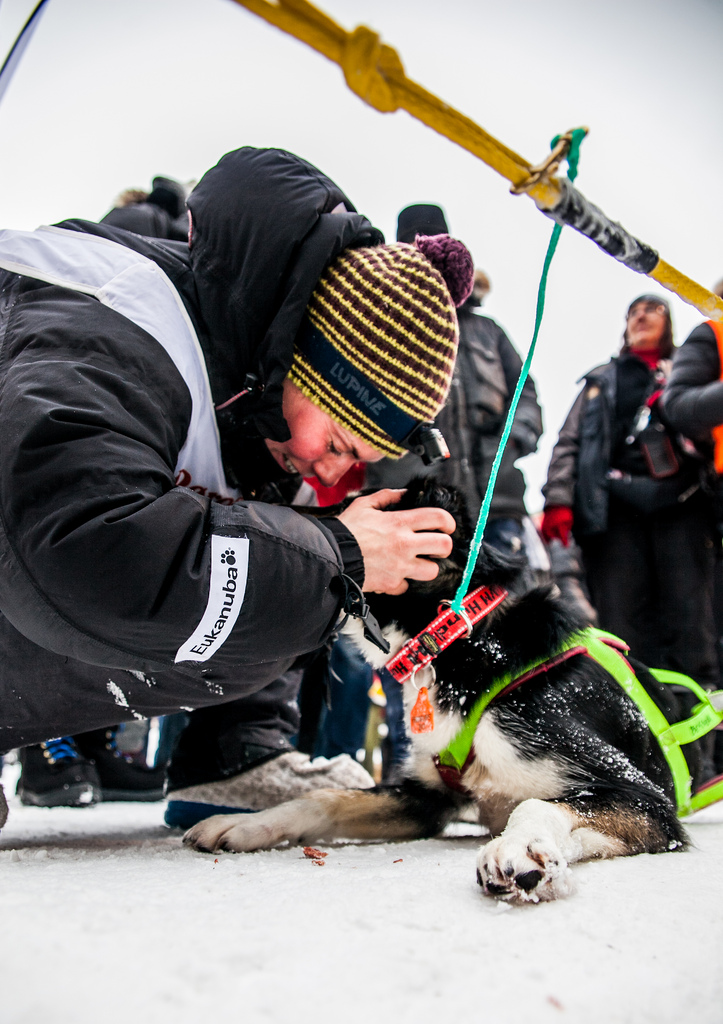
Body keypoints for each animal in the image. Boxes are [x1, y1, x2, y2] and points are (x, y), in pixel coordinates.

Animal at [183, 479, 696, 905]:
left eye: (343, 506)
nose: (248, 499)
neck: (460, 641)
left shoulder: (645, 801)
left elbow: (535, 803)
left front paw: (520, 849)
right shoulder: (426, 799)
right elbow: (326, 797)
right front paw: (245, 824)